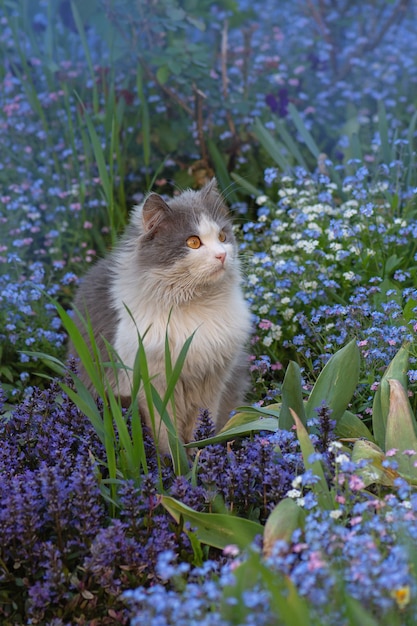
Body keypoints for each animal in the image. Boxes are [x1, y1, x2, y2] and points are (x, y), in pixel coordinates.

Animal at [70, 178, 252, 450]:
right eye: (193, 242)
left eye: (222, 236)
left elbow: (202, 427)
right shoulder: (153, 388)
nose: (222, 255)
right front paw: (173, 459)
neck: (194, 308)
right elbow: (166, 435)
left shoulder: (212, 383)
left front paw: (200, 453)